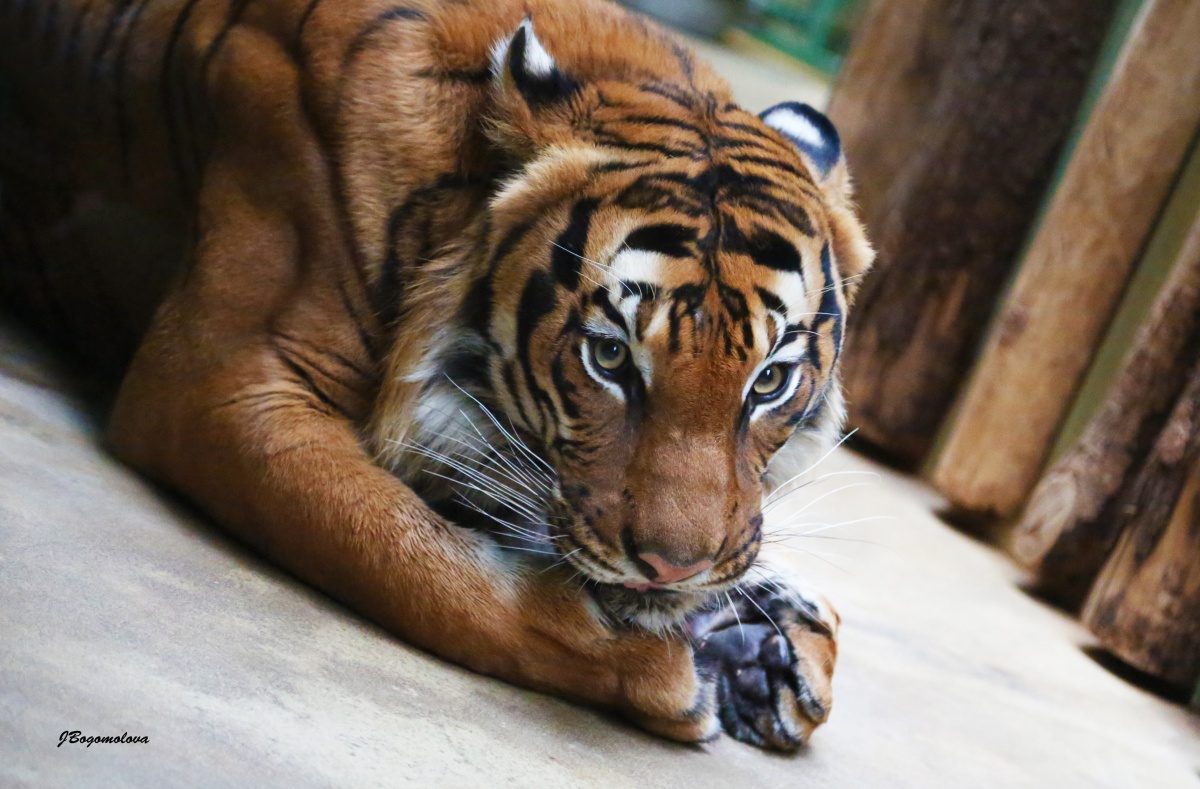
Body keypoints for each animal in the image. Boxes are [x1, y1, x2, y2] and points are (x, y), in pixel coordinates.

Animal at [0, 0, 873, 751]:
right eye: (611, 356)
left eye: (769, 380)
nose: (674, 569)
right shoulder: (224, 383)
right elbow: (428, 565)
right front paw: (664, 665)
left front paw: (771, 636)